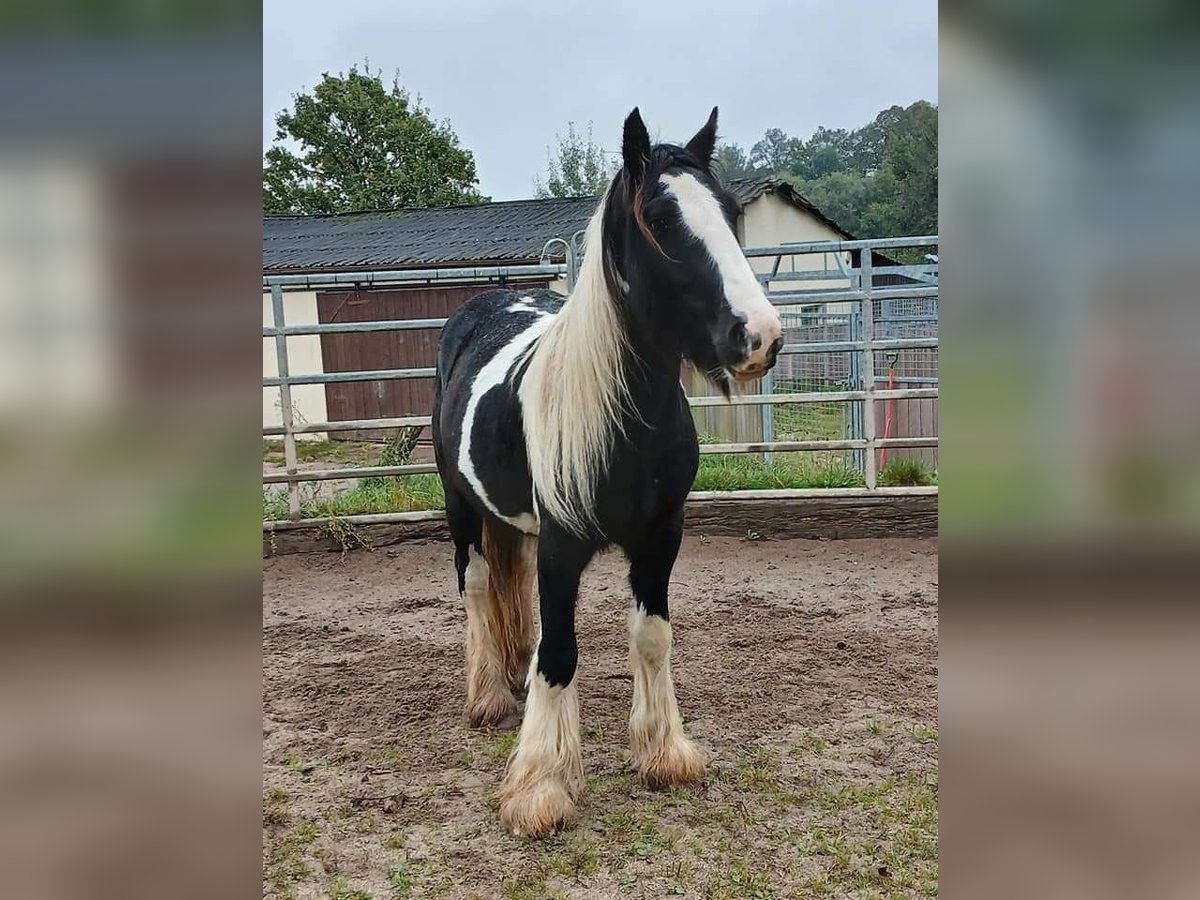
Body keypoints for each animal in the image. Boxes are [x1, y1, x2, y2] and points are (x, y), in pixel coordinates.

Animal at [436, 107, 782, 840]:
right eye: (660, 218)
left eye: (729, 210)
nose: (761, 336)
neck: (625, 422)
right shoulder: (563, 546)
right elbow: (561, 654)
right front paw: (540, 787)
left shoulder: (660, 538)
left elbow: (651, 637)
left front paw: (663, 753)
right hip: (461, 508)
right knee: (477, 587)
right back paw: (488, 696)